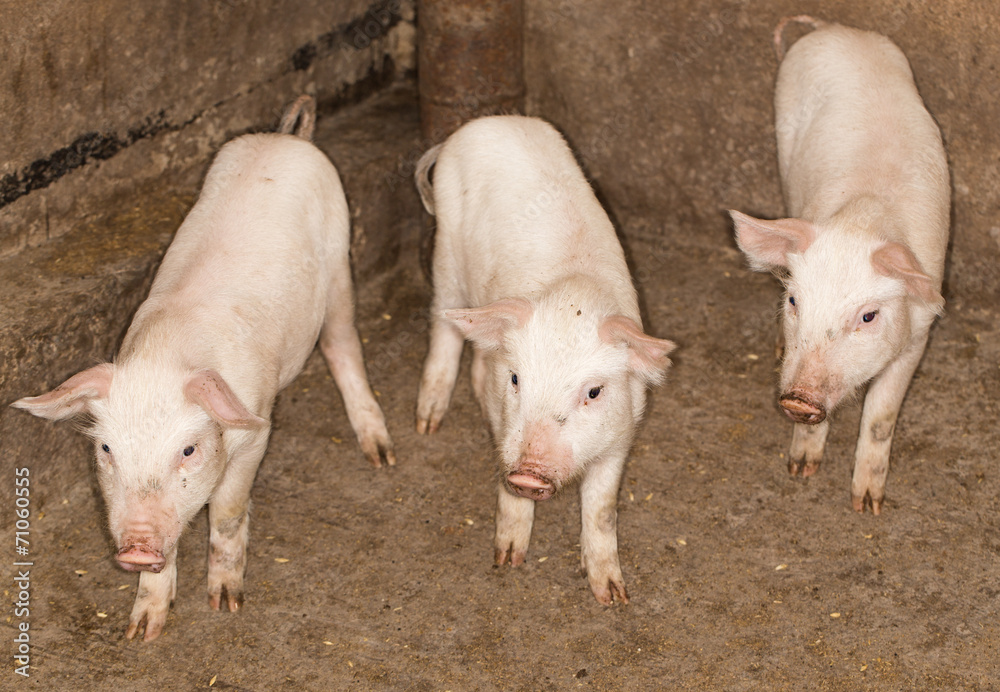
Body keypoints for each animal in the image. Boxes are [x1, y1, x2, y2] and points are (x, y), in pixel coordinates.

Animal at [11, 94, 395, 641]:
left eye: (189, 450)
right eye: (106, 449)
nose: (135, 549)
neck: (165, 355)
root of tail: (287, 136)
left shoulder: (256, 433)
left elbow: (229, 513)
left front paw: (227, 604)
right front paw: (141, 632)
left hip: (340, 263)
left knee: (344, 344)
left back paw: (380, 455)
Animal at [414, 115, 675, 605]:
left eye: (594, 391)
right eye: (517, 379)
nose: (530, 474)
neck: (572, 299)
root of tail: (482, 123)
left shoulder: (622, 436)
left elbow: (602, 510)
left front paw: (613, 597)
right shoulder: (504, 426)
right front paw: (506, 561)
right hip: (446, 260)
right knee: (444, 327)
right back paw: (426, 424)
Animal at [730, 17, 949, 514]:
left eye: (868, 316)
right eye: (794, 301)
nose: (797, 399)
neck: (861, 222)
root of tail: (837, 28)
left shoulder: (918, 336)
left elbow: (882, 418)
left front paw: (867, 506)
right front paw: (800, 471)